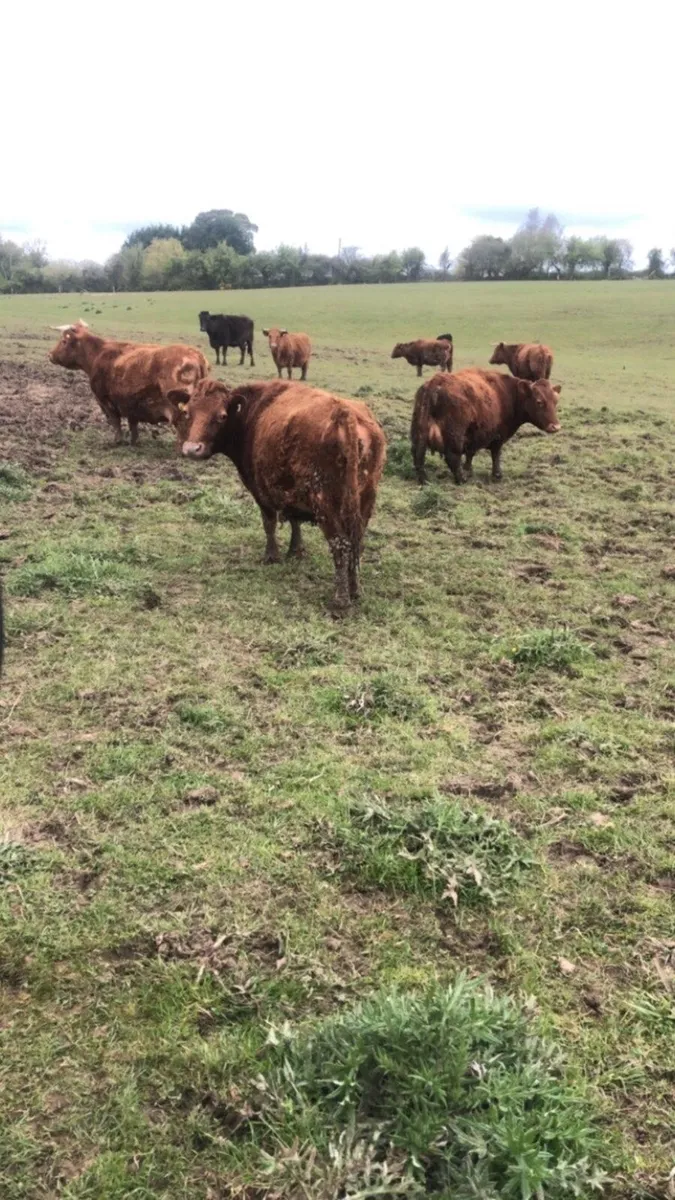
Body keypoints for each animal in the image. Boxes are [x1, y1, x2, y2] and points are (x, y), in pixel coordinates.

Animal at [48, 321, 208, 446]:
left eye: (64, 341)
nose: (50, 354)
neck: (97, 355)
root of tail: (196, 355)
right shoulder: (131, 404)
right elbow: (133, 425)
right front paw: (133, 441)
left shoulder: (106, 401)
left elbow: (116, 422)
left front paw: (117, 441)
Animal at [176, 378, 386, 611]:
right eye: (187, 412)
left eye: (221, 416)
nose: (192, 448)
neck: (253, 412)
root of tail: (345, 413)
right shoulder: (291, 492)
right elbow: (295, 521)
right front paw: (296, 551)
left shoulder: (260, 490)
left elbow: (269, 523)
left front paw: (272, 556)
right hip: (365, 500)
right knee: (357, 542)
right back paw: (356, 590)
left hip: (325, 503)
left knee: (340, 544)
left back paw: (340, 600)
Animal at [411, 368, 561, 485]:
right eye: (539, 402)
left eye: (555, 401)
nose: (556, 427)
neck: (509, 393)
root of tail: (436, 383)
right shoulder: (498, 436)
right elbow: (495, 454)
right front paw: (497, 474)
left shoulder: (473, 435)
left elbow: (470, 453)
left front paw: (469, 469)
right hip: (455, 435)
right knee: (452, 456)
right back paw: (461, 479)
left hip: (419, 432)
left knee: (418, 454)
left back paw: (424, 480)